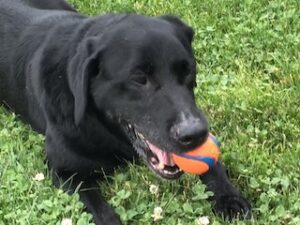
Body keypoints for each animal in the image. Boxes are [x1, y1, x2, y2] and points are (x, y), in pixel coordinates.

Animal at [0, 0, 251, 224]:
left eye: (188, 70)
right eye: (139, 79)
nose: (195, 134)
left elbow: (213, 165)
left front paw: (230, 198)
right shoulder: (64, 172)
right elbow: (101, 210)